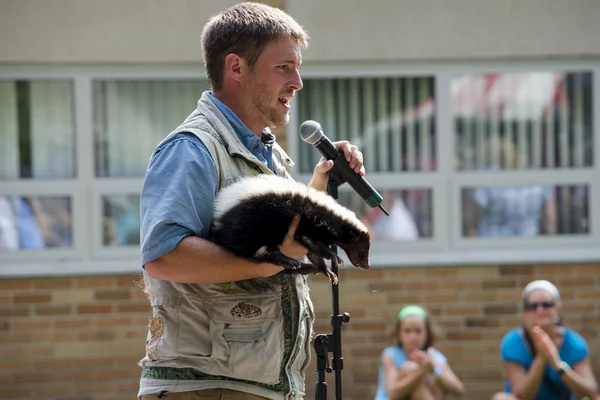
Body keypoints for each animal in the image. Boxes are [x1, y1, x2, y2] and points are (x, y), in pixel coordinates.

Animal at [211, 175, 370, 294]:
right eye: (362, 252)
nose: (366, 265)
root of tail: (218, 221)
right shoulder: (306, 221)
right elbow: (315, 244)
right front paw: (334, 256)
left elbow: (313, 253)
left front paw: (326, 270)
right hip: (251, 226)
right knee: (261, 251)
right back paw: (290, 261)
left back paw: (306, 267)